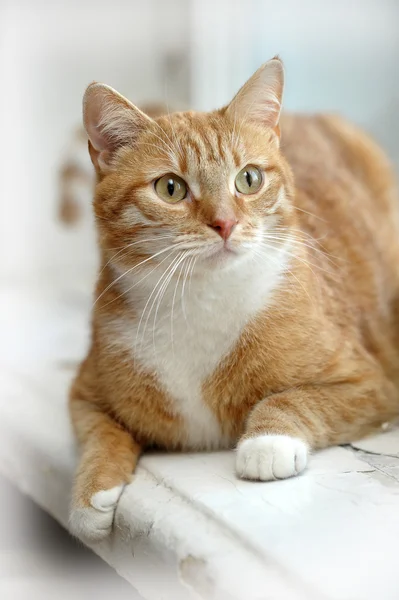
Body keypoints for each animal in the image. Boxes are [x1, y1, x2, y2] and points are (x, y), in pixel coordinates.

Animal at [69, 58, 399, 540]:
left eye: (249, 179)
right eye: (170, 188)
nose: (225, 223)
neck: (200, 299)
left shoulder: (368, 383)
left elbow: (289, 399)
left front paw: (266, 444)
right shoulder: (84, 391)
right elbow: (98, 433)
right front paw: (92, 492)